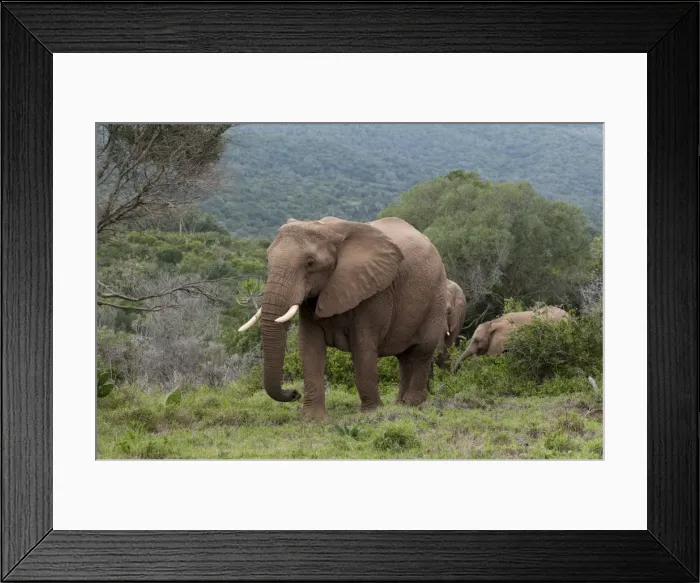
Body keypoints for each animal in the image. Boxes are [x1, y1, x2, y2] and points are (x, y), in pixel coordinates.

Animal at [237, 216, 448, 421]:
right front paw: (312, 419)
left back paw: (413, 403)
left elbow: (363, 346)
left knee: (422, 351)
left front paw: (371, 414)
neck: (329, 230)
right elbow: (309, 346)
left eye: (310, 263)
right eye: (267, 259)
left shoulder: (374, 290)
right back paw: (400, 404)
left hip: (436, 296)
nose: (294, 393)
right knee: (404, 358)